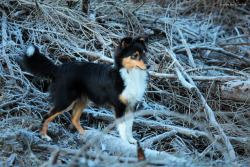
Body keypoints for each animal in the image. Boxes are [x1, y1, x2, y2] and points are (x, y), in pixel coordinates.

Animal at [21, 36, 149, 144]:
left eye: (144, 54)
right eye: (135, 55)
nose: (148, 66)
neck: (129, 74)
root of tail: (59, 68)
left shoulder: (131, 105)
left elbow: (130, 125)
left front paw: (131, 140)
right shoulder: (119, 106)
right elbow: (123, 127)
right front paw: (125, 144)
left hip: (82, 100)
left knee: (74, 118)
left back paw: (85, 135)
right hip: (65, 101)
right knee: (47, 116)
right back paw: (44, 136)